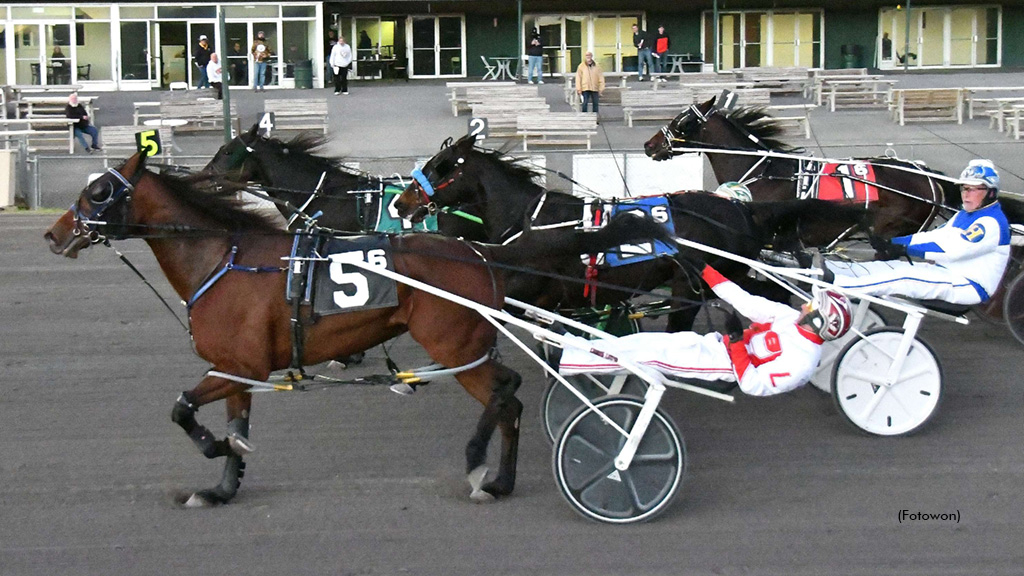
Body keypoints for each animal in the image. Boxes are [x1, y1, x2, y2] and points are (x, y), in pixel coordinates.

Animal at [44, 150, 671, 504]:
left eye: (98, 191)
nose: (53, 234)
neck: (223, 258)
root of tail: (481, 254)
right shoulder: (238, 368)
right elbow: (235, 427)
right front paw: (221, 486)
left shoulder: (236, 366)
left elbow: (182, 409)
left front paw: (211, 447)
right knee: (510, 400)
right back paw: (500, 481)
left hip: (455, 342)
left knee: (505, 390)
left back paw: (477, 463)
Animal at [393, 134, 872, 330]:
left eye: (439, 168)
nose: (400, 203)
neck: (533, 221)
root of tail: (740, 209)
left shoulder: (542, 293)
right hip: (727, 274)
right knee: (769, 295)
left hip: (696, 282)